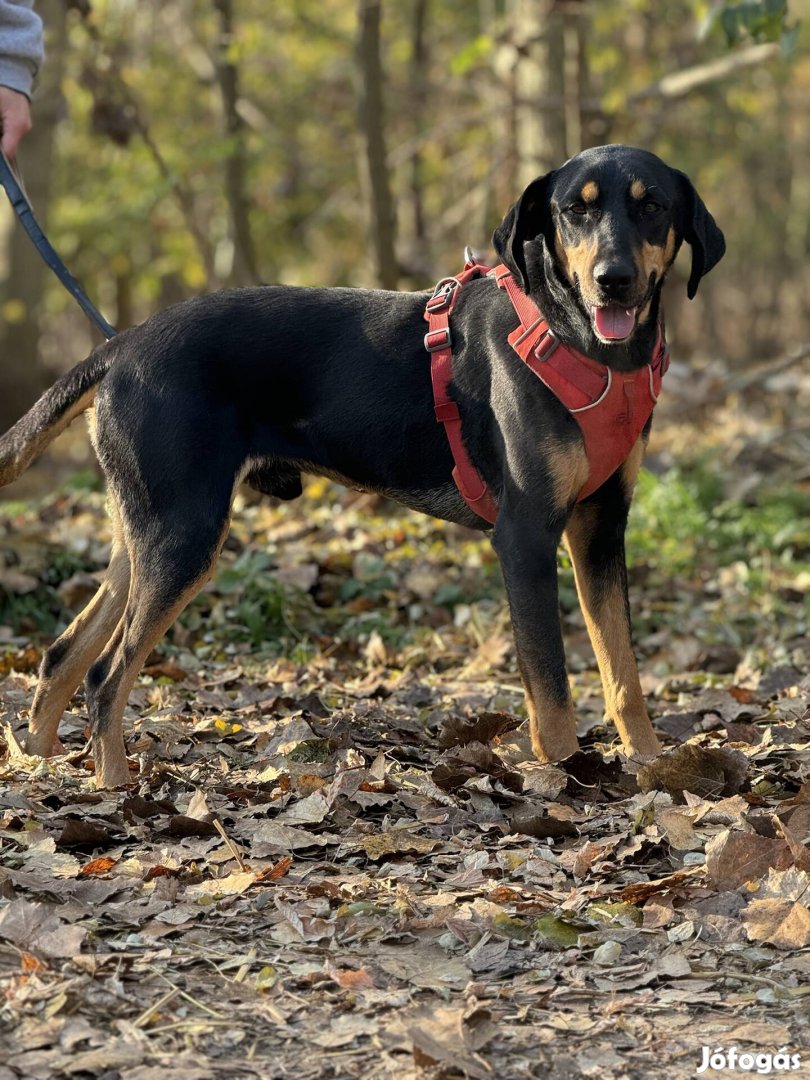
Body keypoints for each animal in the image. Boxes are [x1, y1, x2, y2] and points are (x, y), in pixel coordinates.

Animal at [0, 145, 721, 786]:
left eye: (651, 205)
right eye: (576, 209)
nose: (613, 279)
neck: (589, 346)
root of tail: (122, 347)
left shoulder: (601, 528)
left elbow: (623, 672)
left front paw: (652, 766)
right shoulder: (527, 536)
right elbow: (552, 688)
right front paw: (571, 778)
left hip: (147, 531)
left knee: (63, 656)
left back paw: (39, 766)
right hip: (184, 535)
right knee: (105, 675)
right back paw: (115, 787)